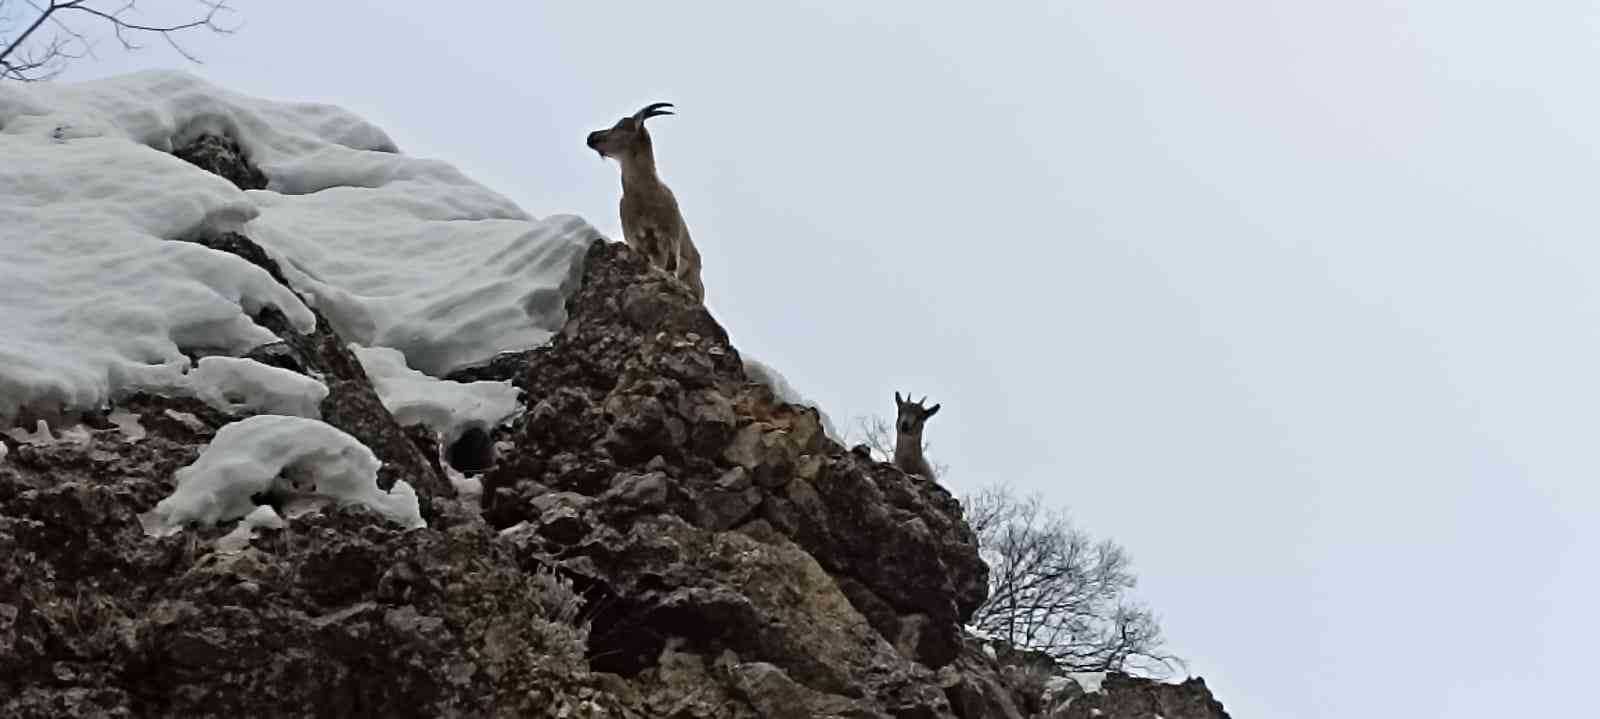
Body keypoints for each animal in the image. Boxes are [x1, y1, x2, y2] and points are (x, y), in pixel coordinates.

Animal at [585, 100, 704, 299]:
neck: (643, 194)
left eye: (620, 125)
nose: (591, 136)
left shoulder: (670, 235)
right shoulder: (634, 239)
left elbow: (671, 267)